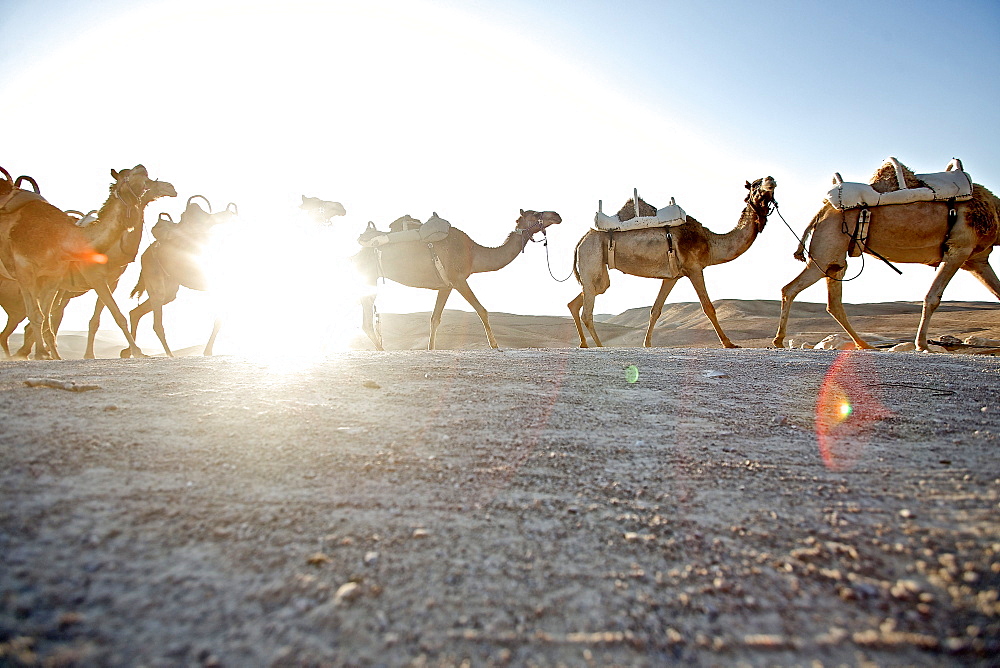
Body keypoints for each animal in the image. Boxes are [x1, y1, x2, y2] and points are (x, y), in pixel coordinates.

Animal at [0, 164, 176, 358]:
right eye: (139, 178)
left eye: (147, 177)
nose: (170, 188)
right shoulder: (28, 271)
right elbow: (116, 315)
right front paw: (136, 351)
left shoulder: (104, 281)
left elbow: (94, 320)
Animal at [356, 210, 564, 352]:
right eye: (536, 213)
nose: (557, 215)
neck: (473, 254)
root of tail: (356, 254)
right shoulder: (459, 280)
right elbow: (482, 311)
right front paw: (495, 345)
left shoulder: (446, 285)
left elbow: (435, 318)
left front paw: (431, 349)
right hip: (369, 276)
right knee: (367, 316)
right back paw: (381, 350)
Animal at [568, 177, 776, 350]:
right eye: (756, 186)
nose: (771, 180)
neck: (710, 242)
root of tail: (580, 241)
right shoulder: (694, 268)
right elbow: (708, 307)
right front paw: (729, 343)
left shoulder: (673, 276)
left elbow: (656, 310)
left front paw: (647, 343)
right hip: (591, 257)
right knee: (587, 311)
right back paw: (599, 345)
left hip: (598, 273)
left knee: (580, 299)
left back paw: (584, 343)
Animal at [772, 160, 1000, 352]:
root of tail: (822, 209)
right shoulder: (959, 248)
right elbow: (933, 297)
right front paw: (922, 344)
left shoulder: (977, 259)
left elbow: (998, 292)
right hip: (826, 250)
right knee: (792, 288)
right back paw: (779, 340)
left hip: (834, 258)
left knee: (832, 301)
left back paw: (862, 344)